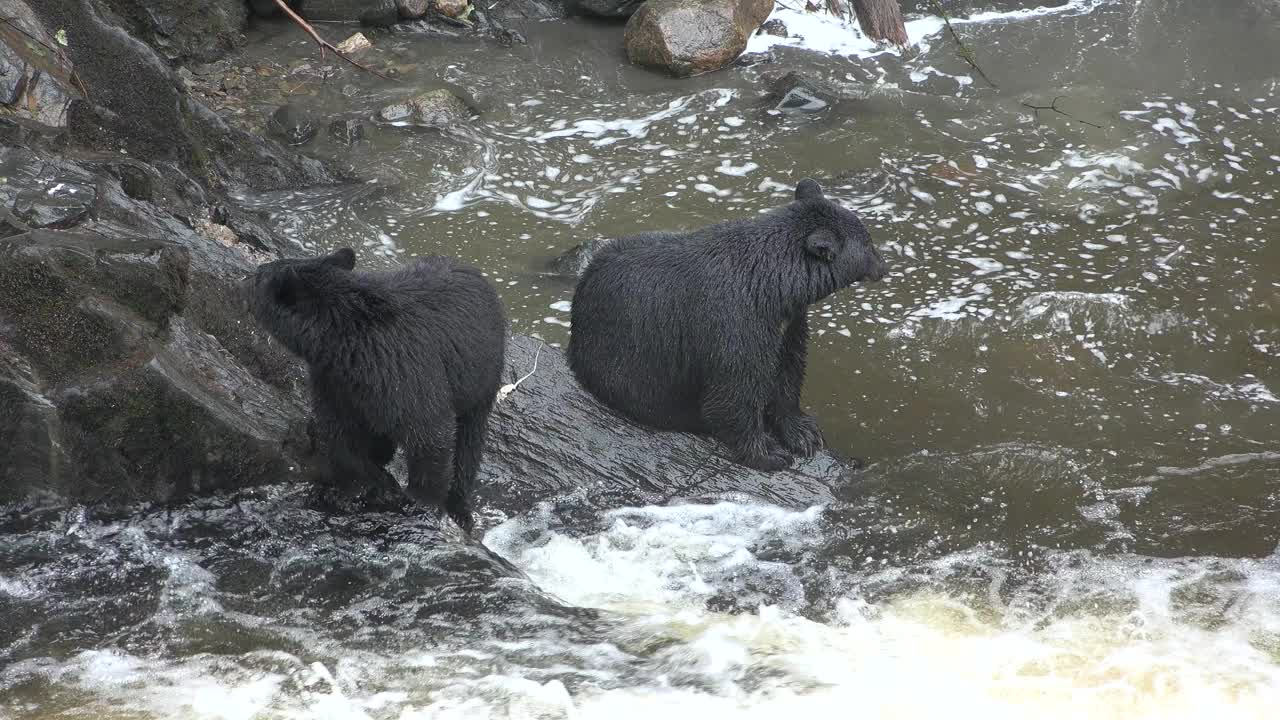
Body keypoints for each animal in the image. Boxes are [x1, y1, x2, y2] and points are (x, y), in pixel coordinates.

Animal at [247, 245, 506, 532]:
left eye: (258, 275)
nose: (248, 275)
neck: (346, 342)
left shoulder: (400, 367)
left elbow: (430, 431)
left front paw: (420, 502)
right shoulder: (335, 380)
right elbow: (339, 432)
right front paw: (364, 480)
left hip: (482, 381)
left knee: (469, 442)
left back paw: (460, 508)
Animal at [565, 179, 885, 471]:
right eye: (869, 243)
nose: (884, 266)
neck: (771, 285)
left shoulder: (789, 321)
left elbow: (788, 368)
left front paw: (804, 432)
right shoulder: (734, 321)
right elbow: (733, 391)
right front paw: (768, 453)